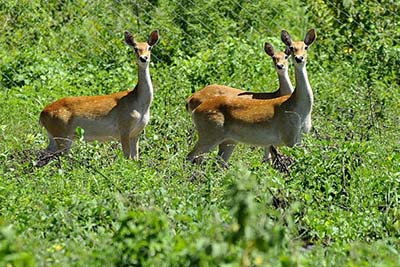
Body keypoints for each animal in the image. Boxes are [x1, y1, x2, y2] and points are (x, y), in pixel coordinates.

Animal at [39, 29, 160, 159]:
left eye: (149, 47)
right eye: (135, 48)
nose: (143, 58)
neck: (139, 104)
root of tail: (42, 114)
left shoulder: (136, 133)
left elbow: (135, 159)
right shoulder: (124, 128)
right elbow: (127, 157)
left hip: (54, 136)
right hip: (62, 135)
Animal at [187, 29, 316, 168]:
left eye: (306, 47)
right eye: (292, 48)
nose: (299, 58)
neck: (298, 108)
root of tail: (193, 107)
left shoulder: (298, 137)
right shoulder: (288, 136)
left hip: (228, 140)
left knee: (216, 162)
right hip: (210, 132)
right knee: (191, 156)